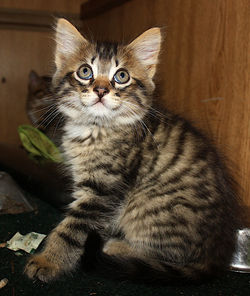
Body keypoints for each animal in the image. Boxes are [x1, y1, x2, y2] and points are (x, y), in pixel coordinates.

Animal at [24, 17, 241, 282]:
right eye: (85, 72)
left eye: (121, 76)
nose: (101, 90)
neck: (96, 128)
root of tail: (218, 252)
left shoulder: (102, 192)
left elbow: (72, 230)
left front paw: (47, 261)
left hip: (153, 209)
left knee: (169, 254)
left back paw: (118, 247)